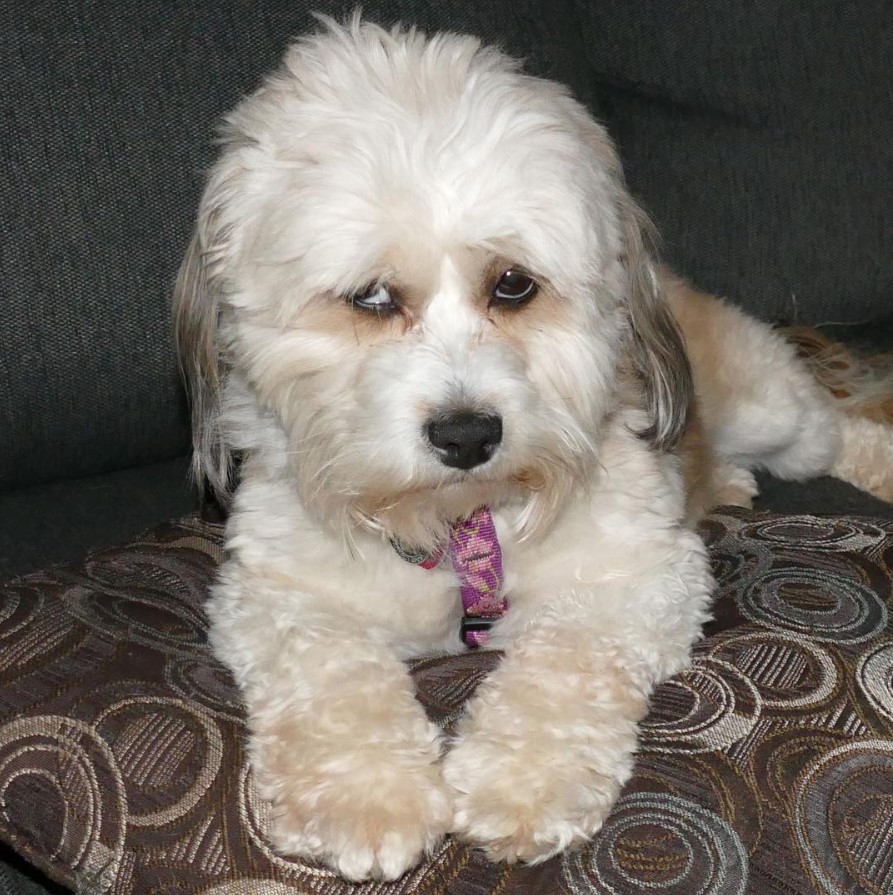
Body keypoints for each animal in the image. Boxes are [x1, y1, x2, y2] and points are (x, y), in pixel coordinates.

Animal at [172, 14, 892, 880]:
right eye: (371, 297)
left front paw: (521, 783)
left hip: (773, 412)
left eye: (513, 284)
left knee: (838, 431)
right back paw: (723, 481)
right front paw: (365, 794)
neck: (462, 523)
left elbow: (563, 666)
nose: (466, 433)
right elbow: (331, 674)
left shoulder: (637, 575)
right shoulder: (279, 593)